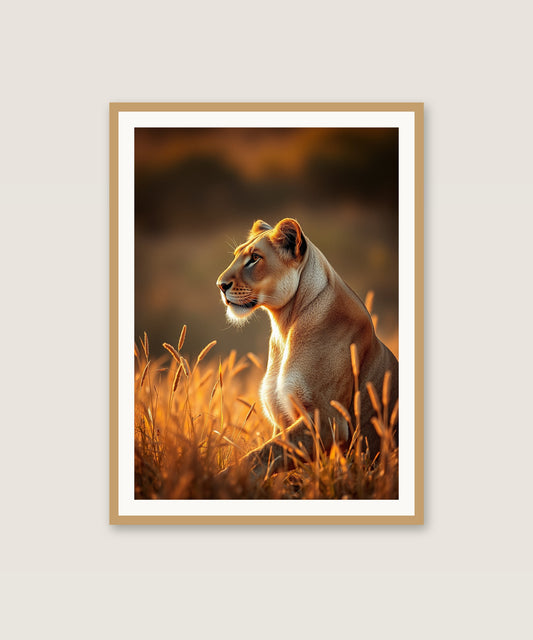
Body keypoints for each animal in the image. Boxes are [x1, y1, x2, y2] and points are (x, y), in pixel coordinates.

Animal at [216, 218, 398, 475]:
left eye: (255, 258)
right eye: (236, 256)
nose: (220, 285)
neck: (285, 326)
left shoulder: (329, 420)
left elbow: (263, 454)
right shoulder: (282, 420)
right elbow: (272, 456)